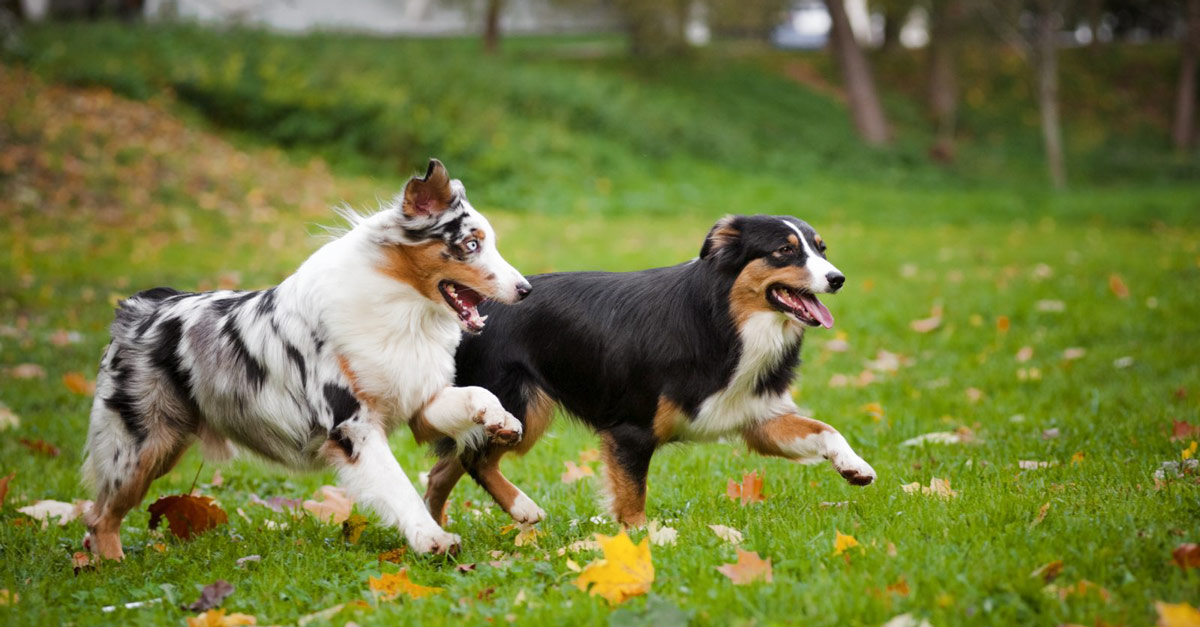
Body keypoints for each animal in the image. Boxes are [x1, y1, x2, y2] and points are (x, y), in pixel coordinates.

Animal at [427, 212, 878, 523]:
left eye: (821, 249)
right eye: (785, 251)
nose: (837, 278)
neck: (725, 320)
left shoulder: (756, 416)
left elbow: (825, 429)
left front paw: (854, 465)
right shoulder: (631, 430)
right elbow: (632, 499)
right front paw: (644, 544)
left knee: (442, 469)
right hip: (518, 407)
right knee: (475, 461)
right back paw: (522, 508)